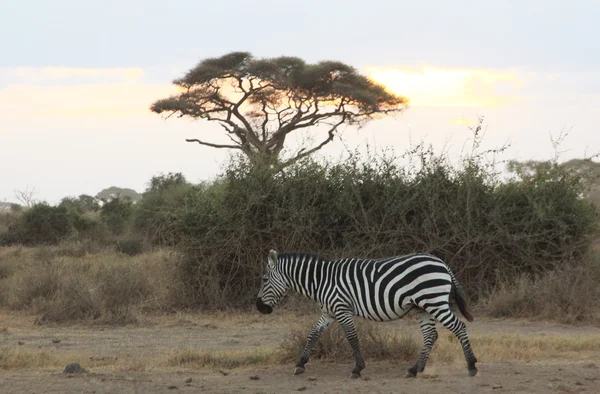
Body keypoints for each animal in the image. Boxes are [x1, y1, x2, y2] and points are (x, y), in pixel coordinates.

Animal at [256, 249, 478, 378]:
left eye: (264, 279)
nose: (259, 307)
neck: (321, 281)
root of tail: (441, 262)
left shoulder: (342, 309)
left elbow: (352, 338)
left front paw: (358, 368)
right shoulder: (329, 312)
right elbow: (313, 334)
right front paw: (300, 364)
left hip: (434, 301)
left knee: (459, 327)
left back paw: (471, 366)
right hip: (423, 307)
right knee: (431, 335)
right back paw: (415, 369)